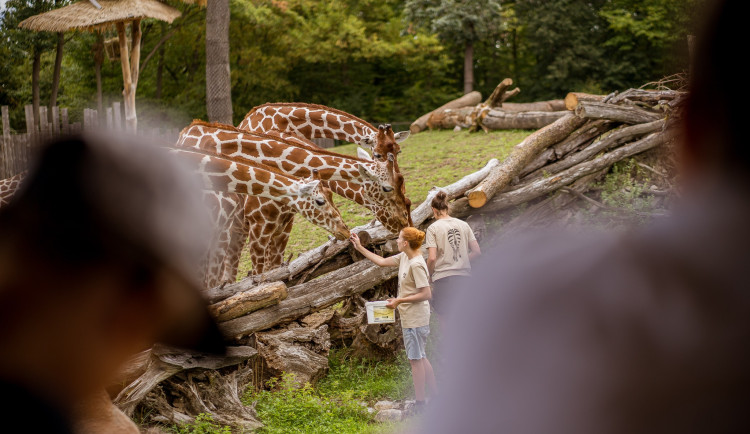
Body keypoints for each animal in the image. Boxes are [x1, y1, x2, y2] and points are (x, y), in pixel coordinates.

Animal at [169, 147, 352, 286]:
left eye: (331, 195)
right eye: (320, 201)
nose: (345, 231)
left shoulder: (281, 233)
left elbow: (276, 271)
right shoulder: (257, 232)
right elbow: (258, 274)